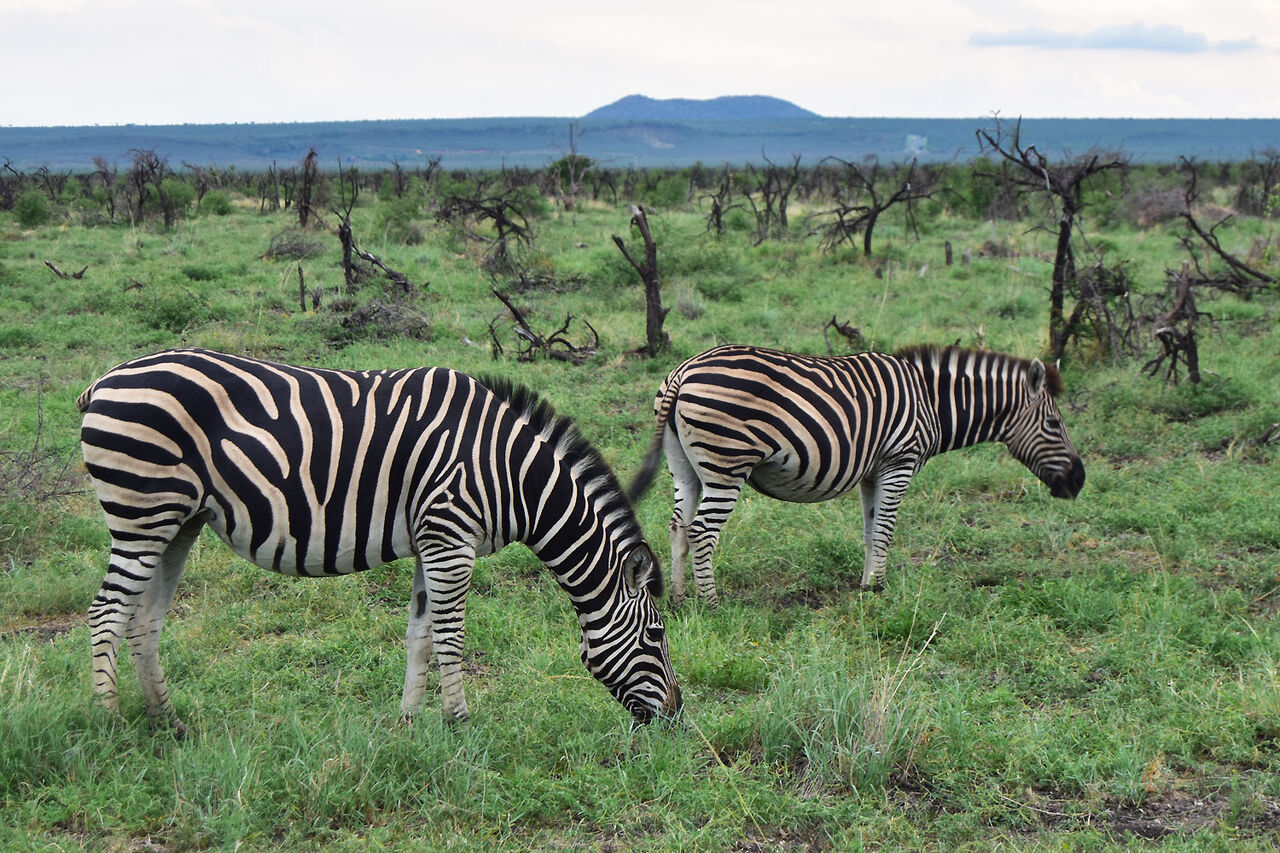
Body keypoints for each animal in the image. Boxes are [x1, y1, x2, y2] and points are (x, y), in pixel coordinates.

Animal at [78, 348, 681, 733]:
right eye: (656, 636)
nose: (676, 717)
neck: (511, 475)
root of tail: (102, 381)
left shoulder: (431, 540)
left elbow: (420, 636)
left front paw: (410, 723)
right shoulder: (450, 538)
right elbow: (451, 639)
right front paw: (461, 724)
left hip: (179, 521)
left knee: (144, 619)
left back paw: (166, 722)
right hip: (143, 512)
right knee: (106, 612)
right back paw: (111, 726)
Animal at [628, 344, 1085, 605]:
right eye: (1053, 424)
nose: (1079, 481)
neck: (931, 402)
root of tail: (683, 371)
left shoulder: (873, 470)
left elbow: (869, 528)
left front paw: (866, 583)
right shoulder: (899, 461)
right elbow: (885, 529)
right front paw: (878, 589)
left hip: (685, 467)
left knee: (678, 526)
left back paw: (679, 599)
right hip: (727, 463)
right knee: (702, 531)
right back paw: (711, 602)